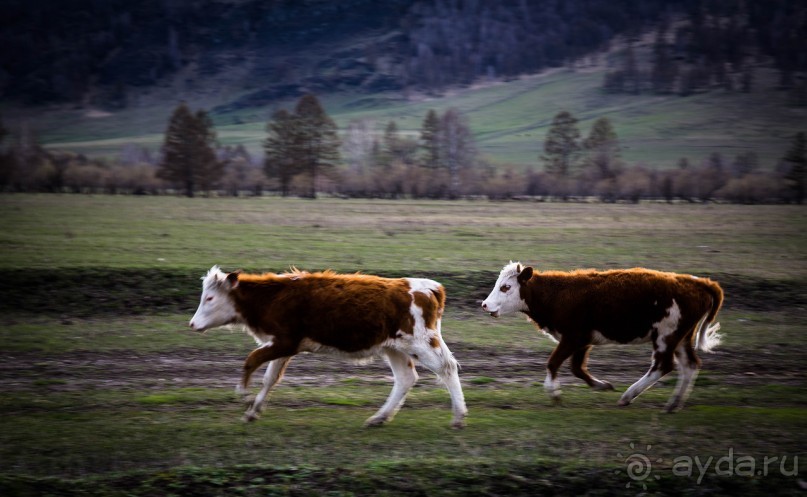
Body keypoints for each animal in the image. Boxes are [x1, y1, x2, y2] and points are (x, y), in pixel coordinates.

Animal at [189, 268, 468, 426]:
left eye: (210, 298)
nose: (192, 324)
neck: (274, 296)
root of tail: (431, 287)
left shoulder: (285, 342)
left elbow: (251, 360)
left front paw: (244, 394)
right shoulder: (283, 346)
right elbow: (270, 378)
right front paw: (253, 411)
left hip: (421, 342)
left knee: (447, 368)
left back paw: (458, 416)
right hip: (395, 348)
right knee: (406, 378)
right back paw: (379, 418)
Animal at [480, 262, 724, 412]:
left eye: (505, 287)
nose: (484, 305)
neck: (557, 294)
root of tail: (697, 282)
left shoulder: (573, 338)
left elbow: (553, 363)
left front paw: (554, 393)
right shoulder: (582, 342)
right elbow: (577, 368)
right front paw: (602, 385)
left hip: (666, 335)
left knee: (663, 366)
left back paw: (629, 396)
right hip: (681, 337)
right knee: (690, 365)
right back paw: (673, 404)